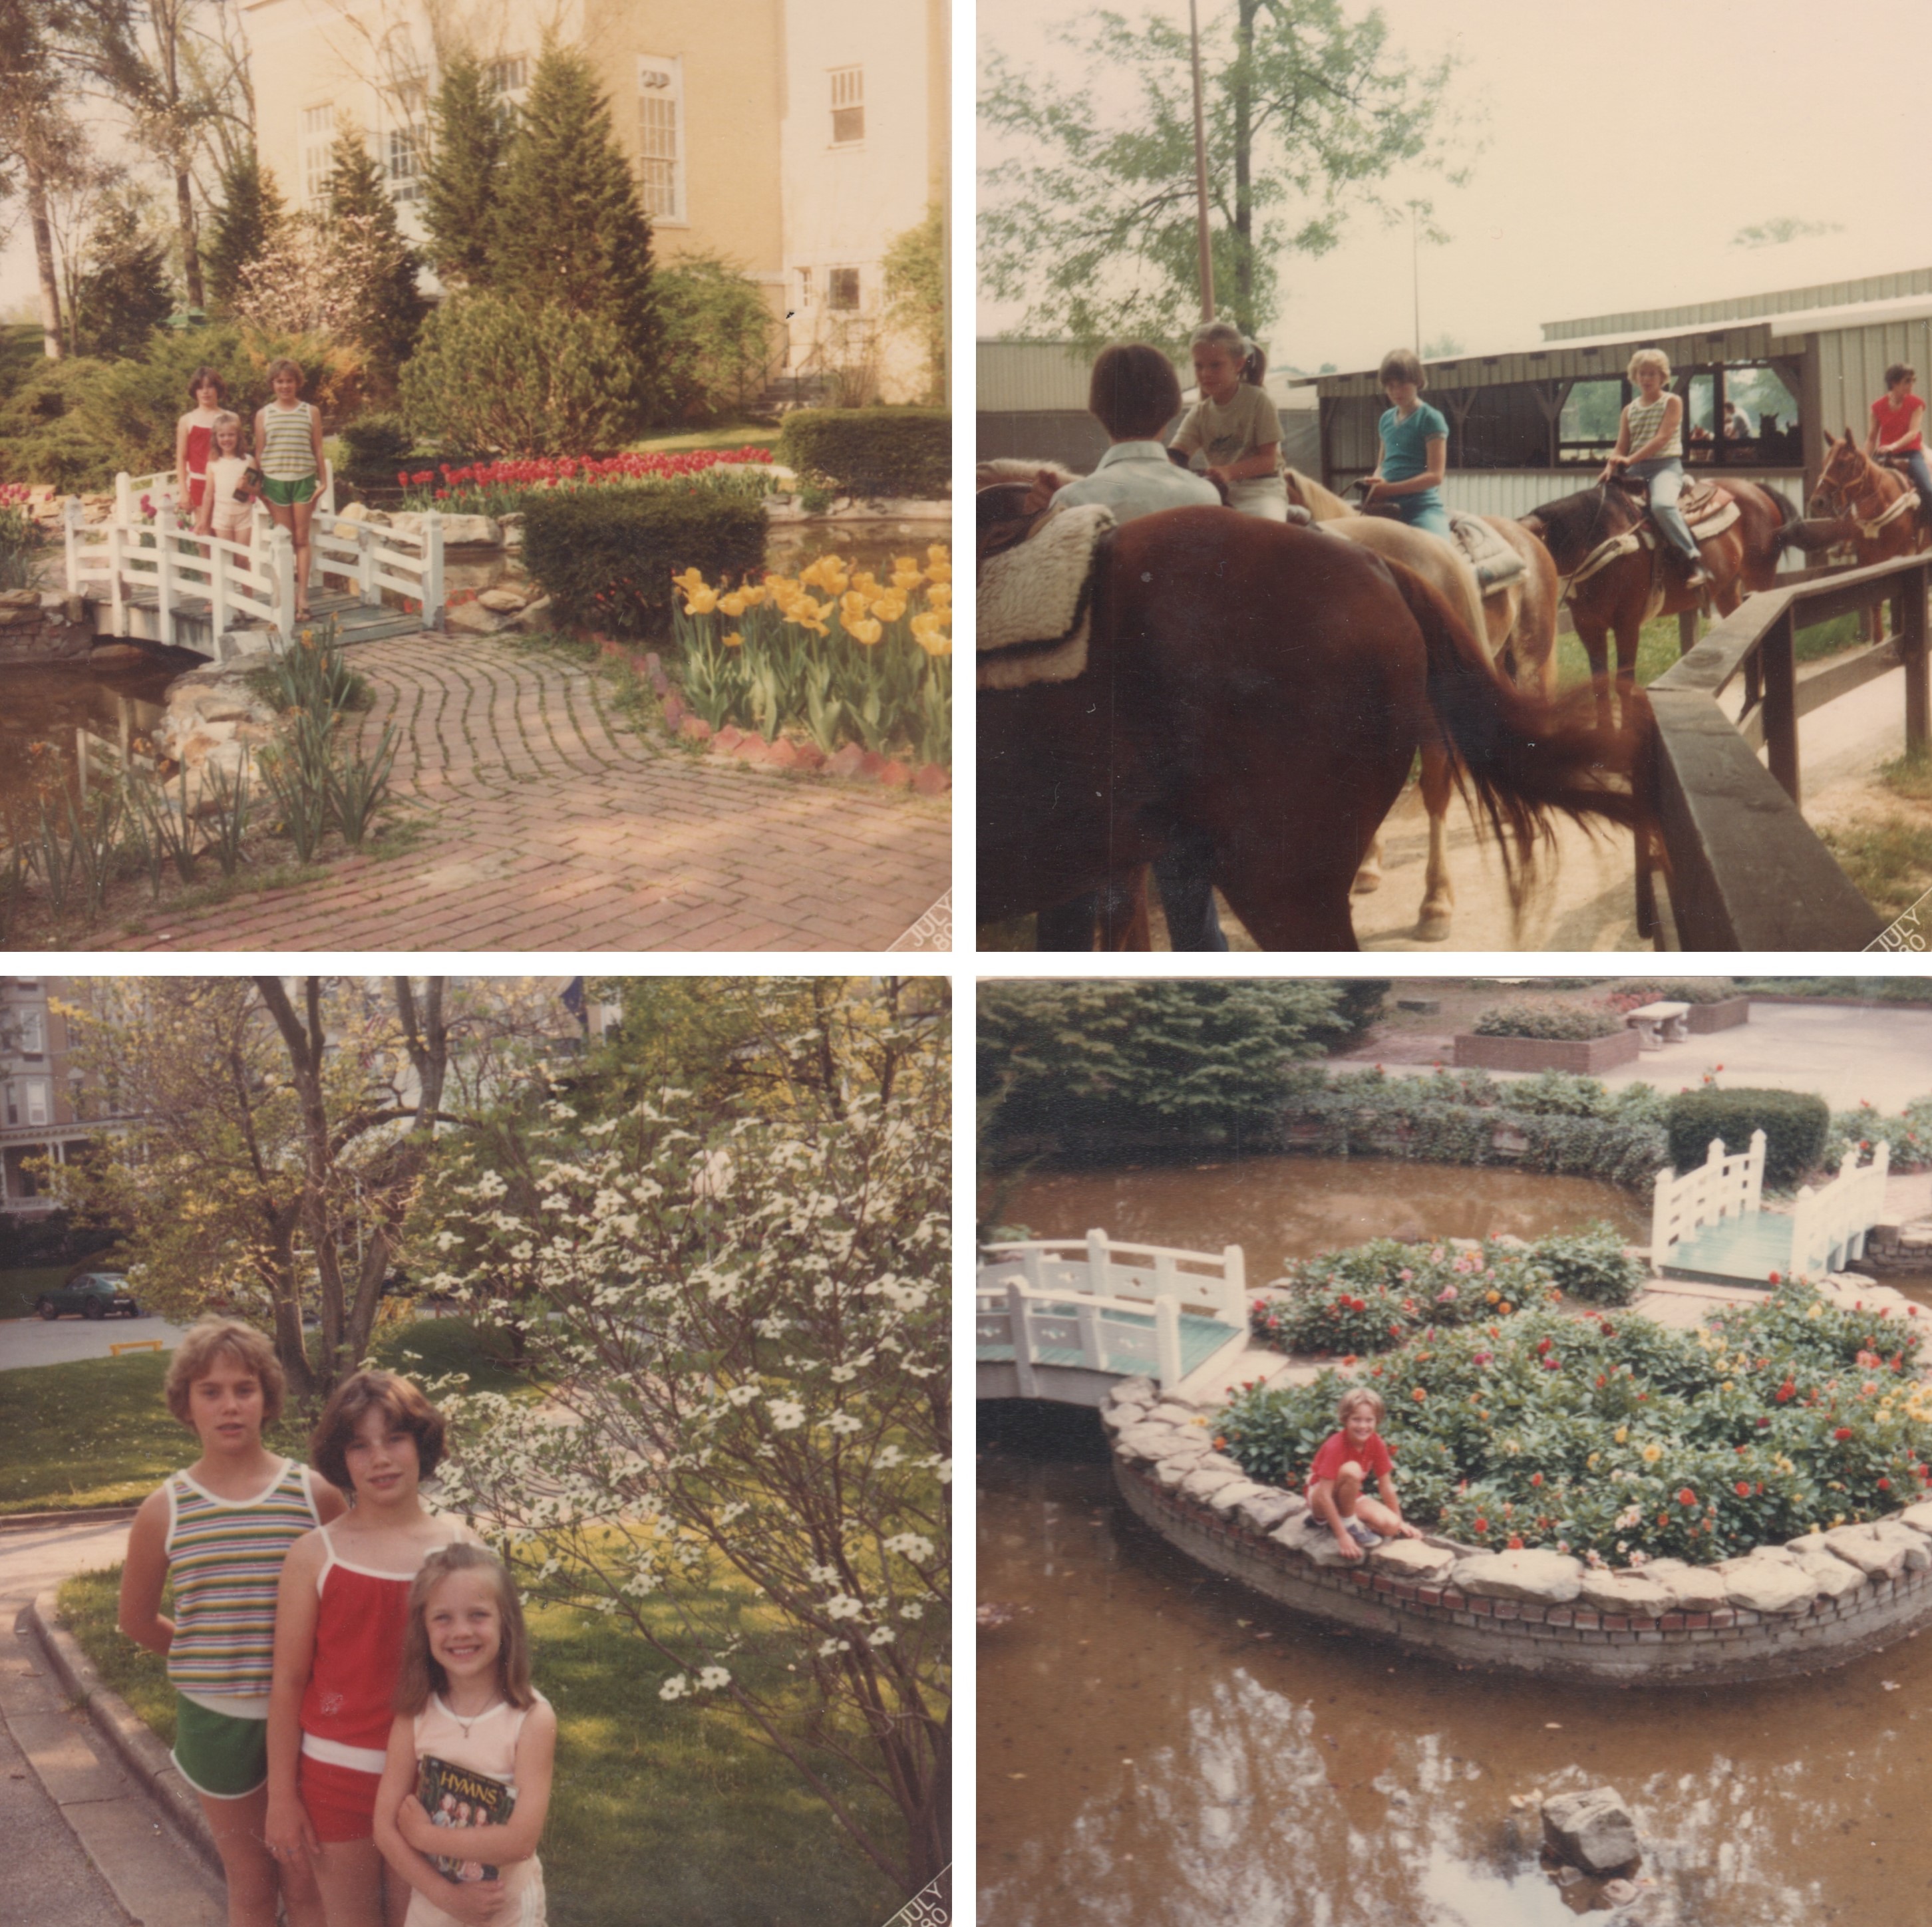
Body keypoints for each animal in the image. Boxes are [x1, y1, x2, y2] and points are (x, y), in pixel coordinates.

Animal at [1522, 478, 1792, 726]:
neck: (1600, 538)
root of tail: (1756, 487)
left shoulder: (1627, 624)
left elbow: (1624, 684)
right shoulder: (1588, 626)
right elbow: (1599, 686)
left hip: (1759, 579)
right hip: (1727, 593)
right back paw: (1747, 709)